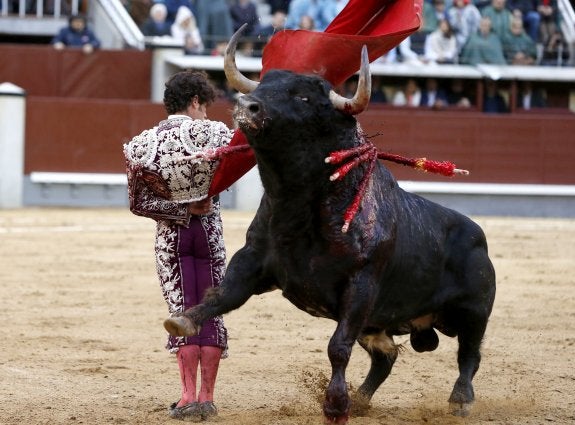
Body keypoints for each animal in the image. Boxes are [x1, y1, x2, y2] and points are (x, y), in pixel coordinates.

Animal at [164, 28, 498, 422]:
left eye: (304, 97)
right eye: (266, 84)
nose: (247, 105)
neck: (299, 205)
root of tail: (478, 236)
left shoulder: (361, 284)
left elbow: (338, 347)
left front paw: (335, 404)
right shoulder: (254, 259)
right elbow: (222, 295)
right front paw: (184, 320)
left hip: (473, 310)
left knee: (469, 354)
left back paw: (459, 399)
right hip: (380, 322)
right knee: (386, 356)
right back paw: (362, 399)